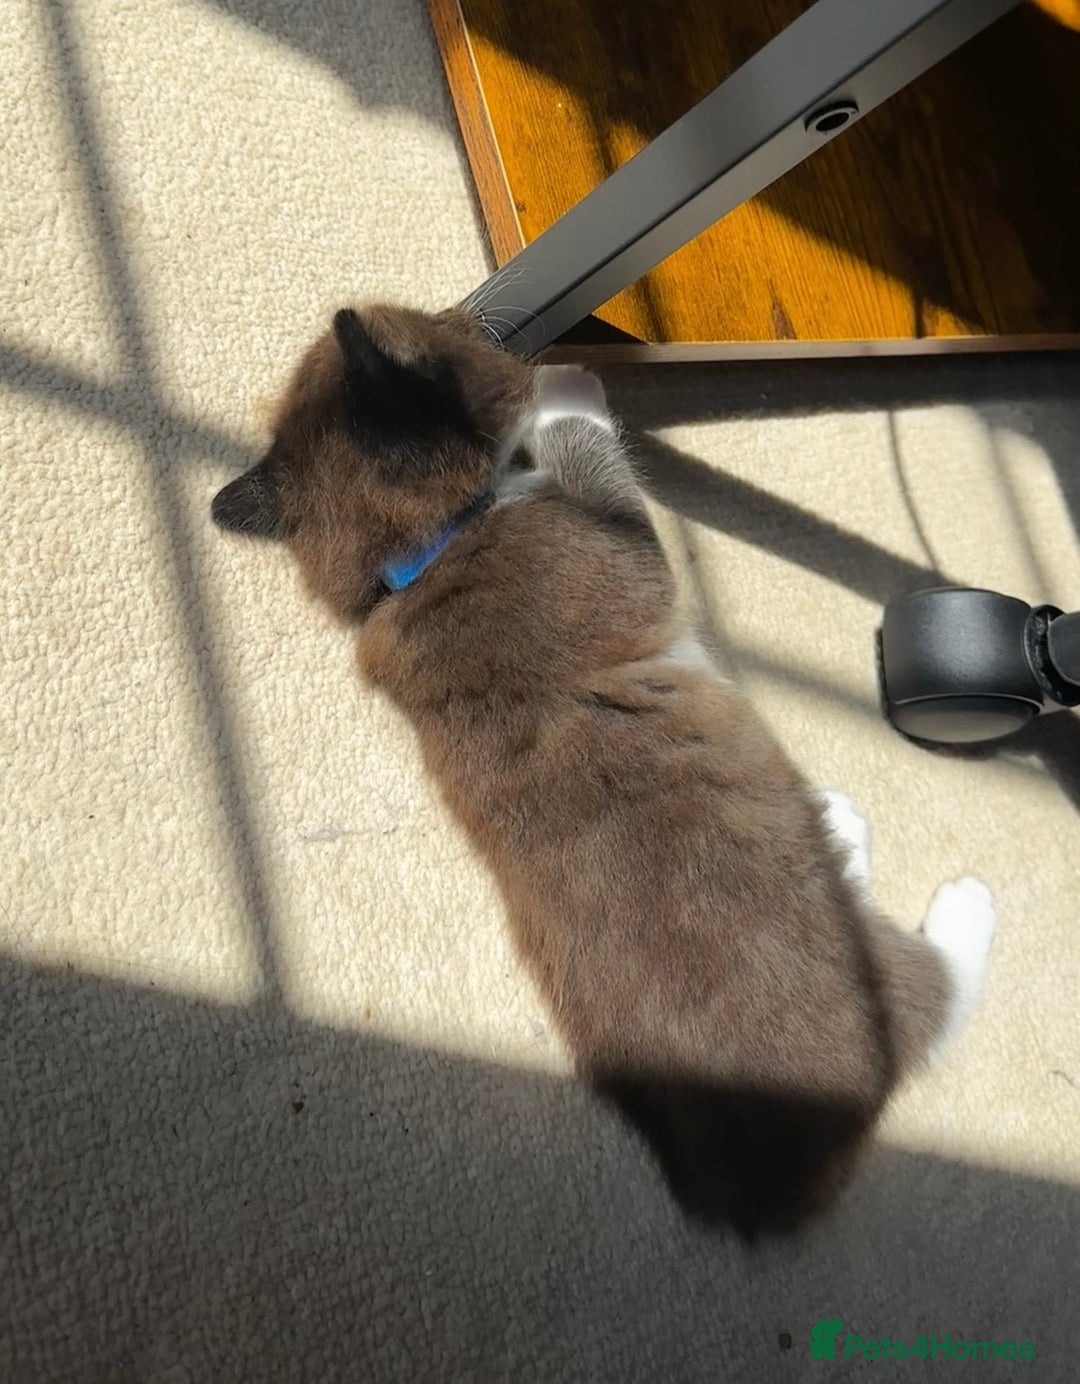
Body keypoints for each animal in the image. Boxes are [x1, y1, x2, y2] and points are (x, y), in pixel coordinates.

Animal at [212, 304, 996, 1236]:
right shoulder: (622, 546)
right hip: (880, 974)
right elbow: (593, 449)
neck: (431, 545)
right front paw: (567, 387)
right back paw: (920, 873)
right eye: (438, 326)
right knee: (942, 991)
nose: (473, 312)